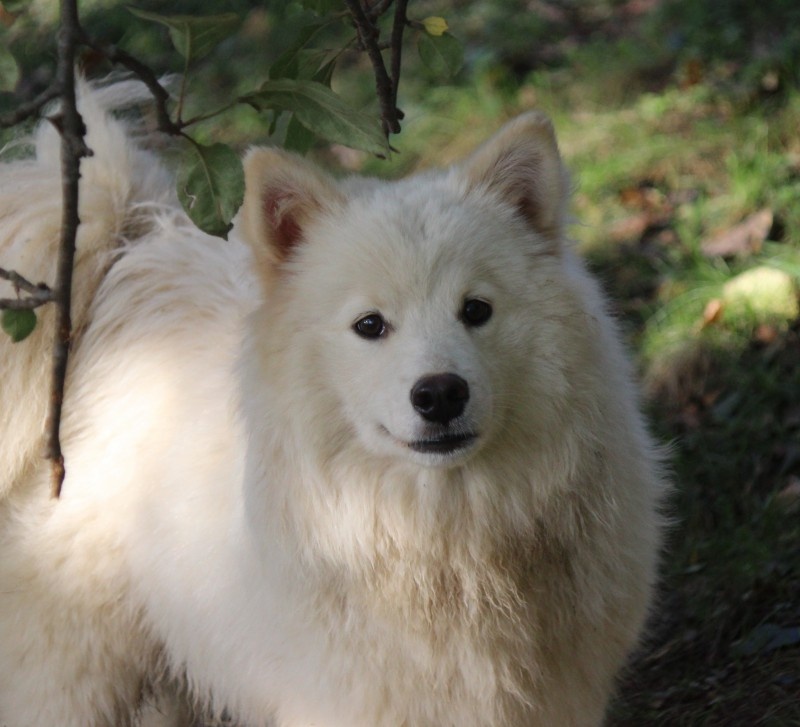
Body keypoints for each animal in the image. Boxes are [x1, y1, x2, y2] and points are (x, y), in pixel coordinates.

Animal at [0, 82, 664, 727]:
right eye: (370, 325)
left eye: (476, 310)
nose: (440, 393)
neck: (444, 539)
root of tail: (127, 254)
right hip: (77, 670)